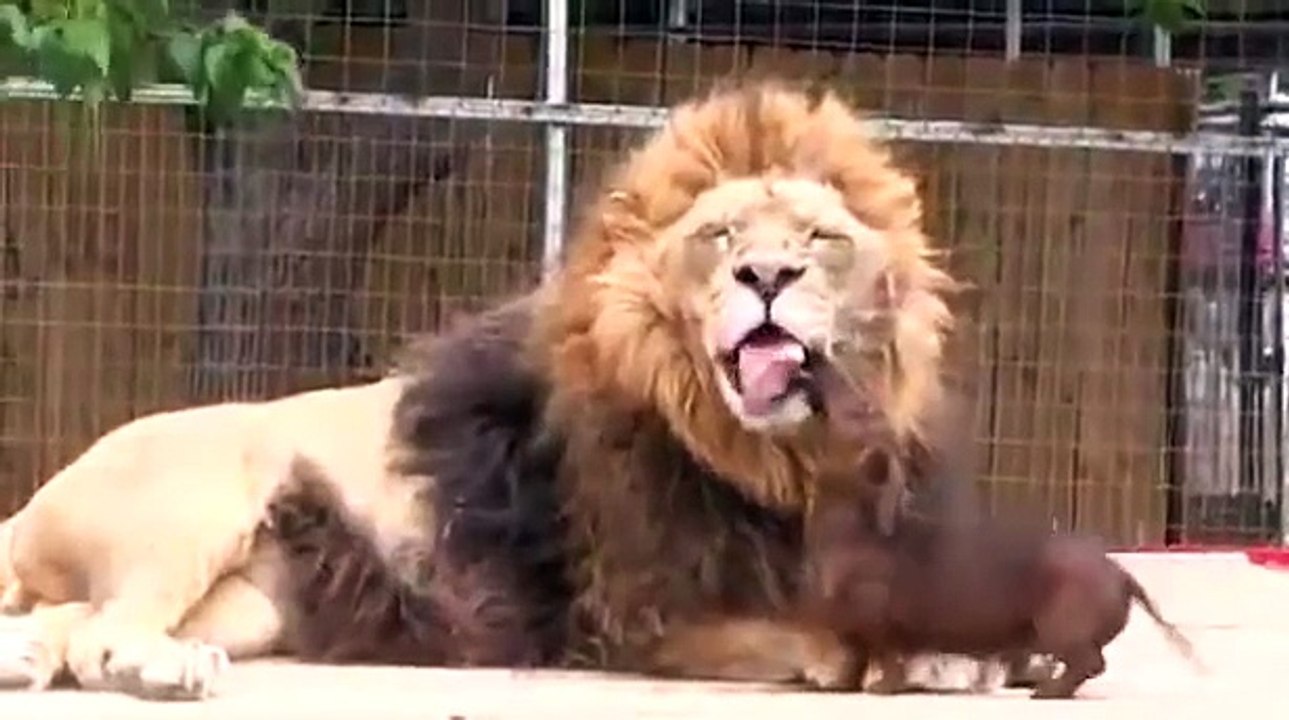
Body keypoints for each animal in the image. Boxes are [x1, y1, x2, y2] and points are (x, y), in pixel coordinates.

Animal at [0, 80, 1042, 701]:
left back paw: (35, 657)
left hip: (252, 601)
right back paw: (149, 666)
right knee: (103, 632)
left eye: (820, 239)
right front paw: (907, 660)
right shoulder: (635, 617)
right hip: (203, 501)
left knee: (67, 620)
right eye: (720, 236)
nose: (768, 277)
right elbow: (824, 642)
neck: (774, 457)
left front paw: (976, 650)